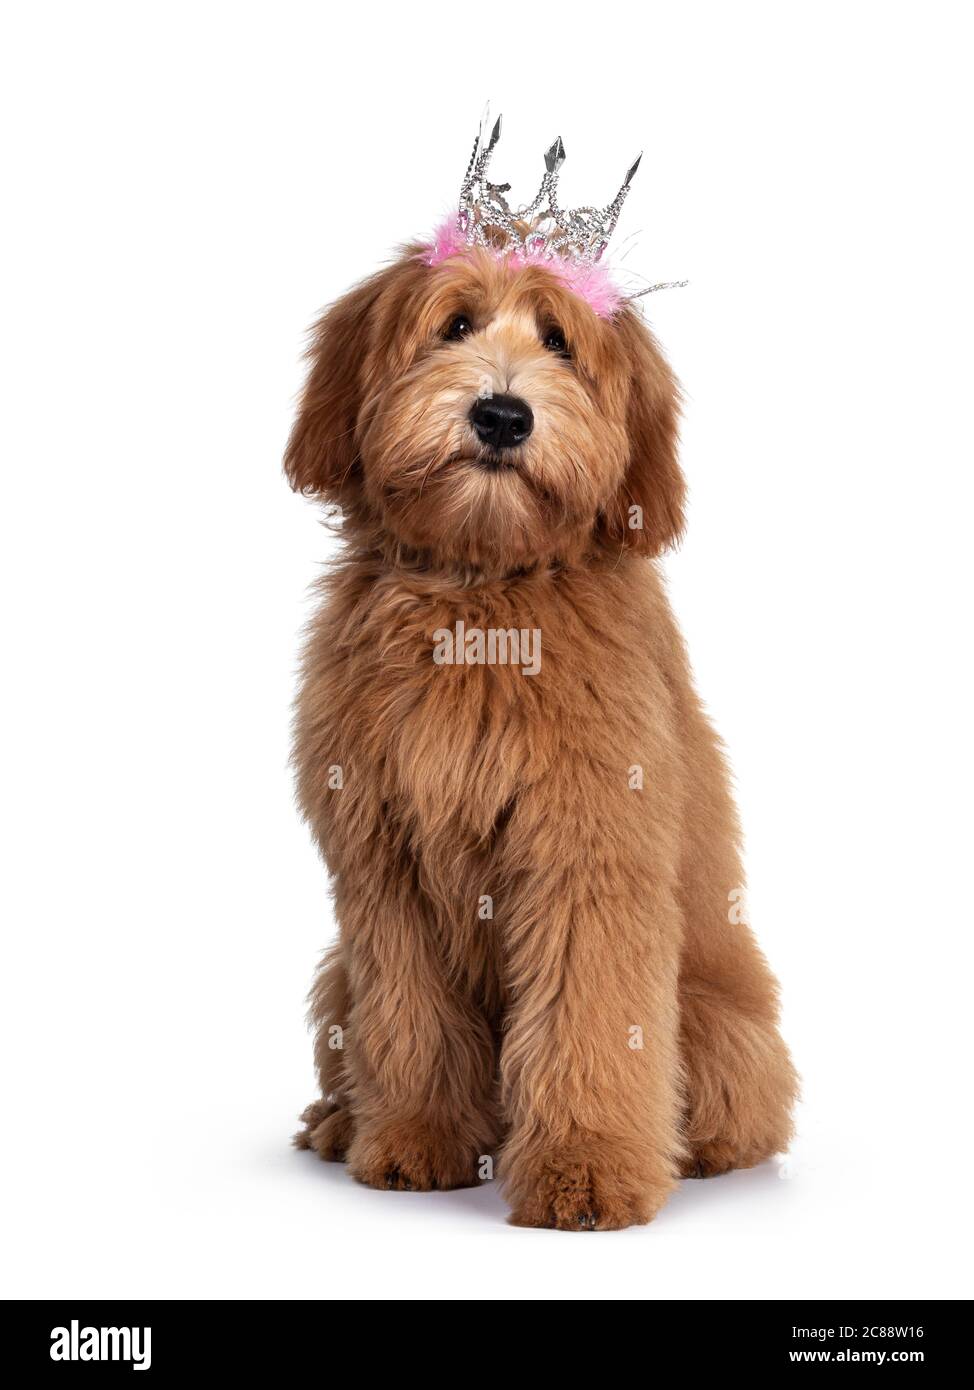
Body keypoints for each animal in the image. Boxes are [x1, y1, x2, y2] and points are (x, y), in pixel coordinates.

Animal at [289, 214, 800, 1228]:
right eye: (454, 324)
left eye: (560, 340)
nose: (501, 415)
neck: (483, 603)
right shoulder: (383, 865)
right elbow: (409, 1017)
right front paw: (414, 1141)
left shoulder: (587, 852)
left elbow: (589, 1016)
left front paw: (587, 1167)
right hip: (335, 976)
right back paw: (342, 1121)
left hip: (719, 1027)